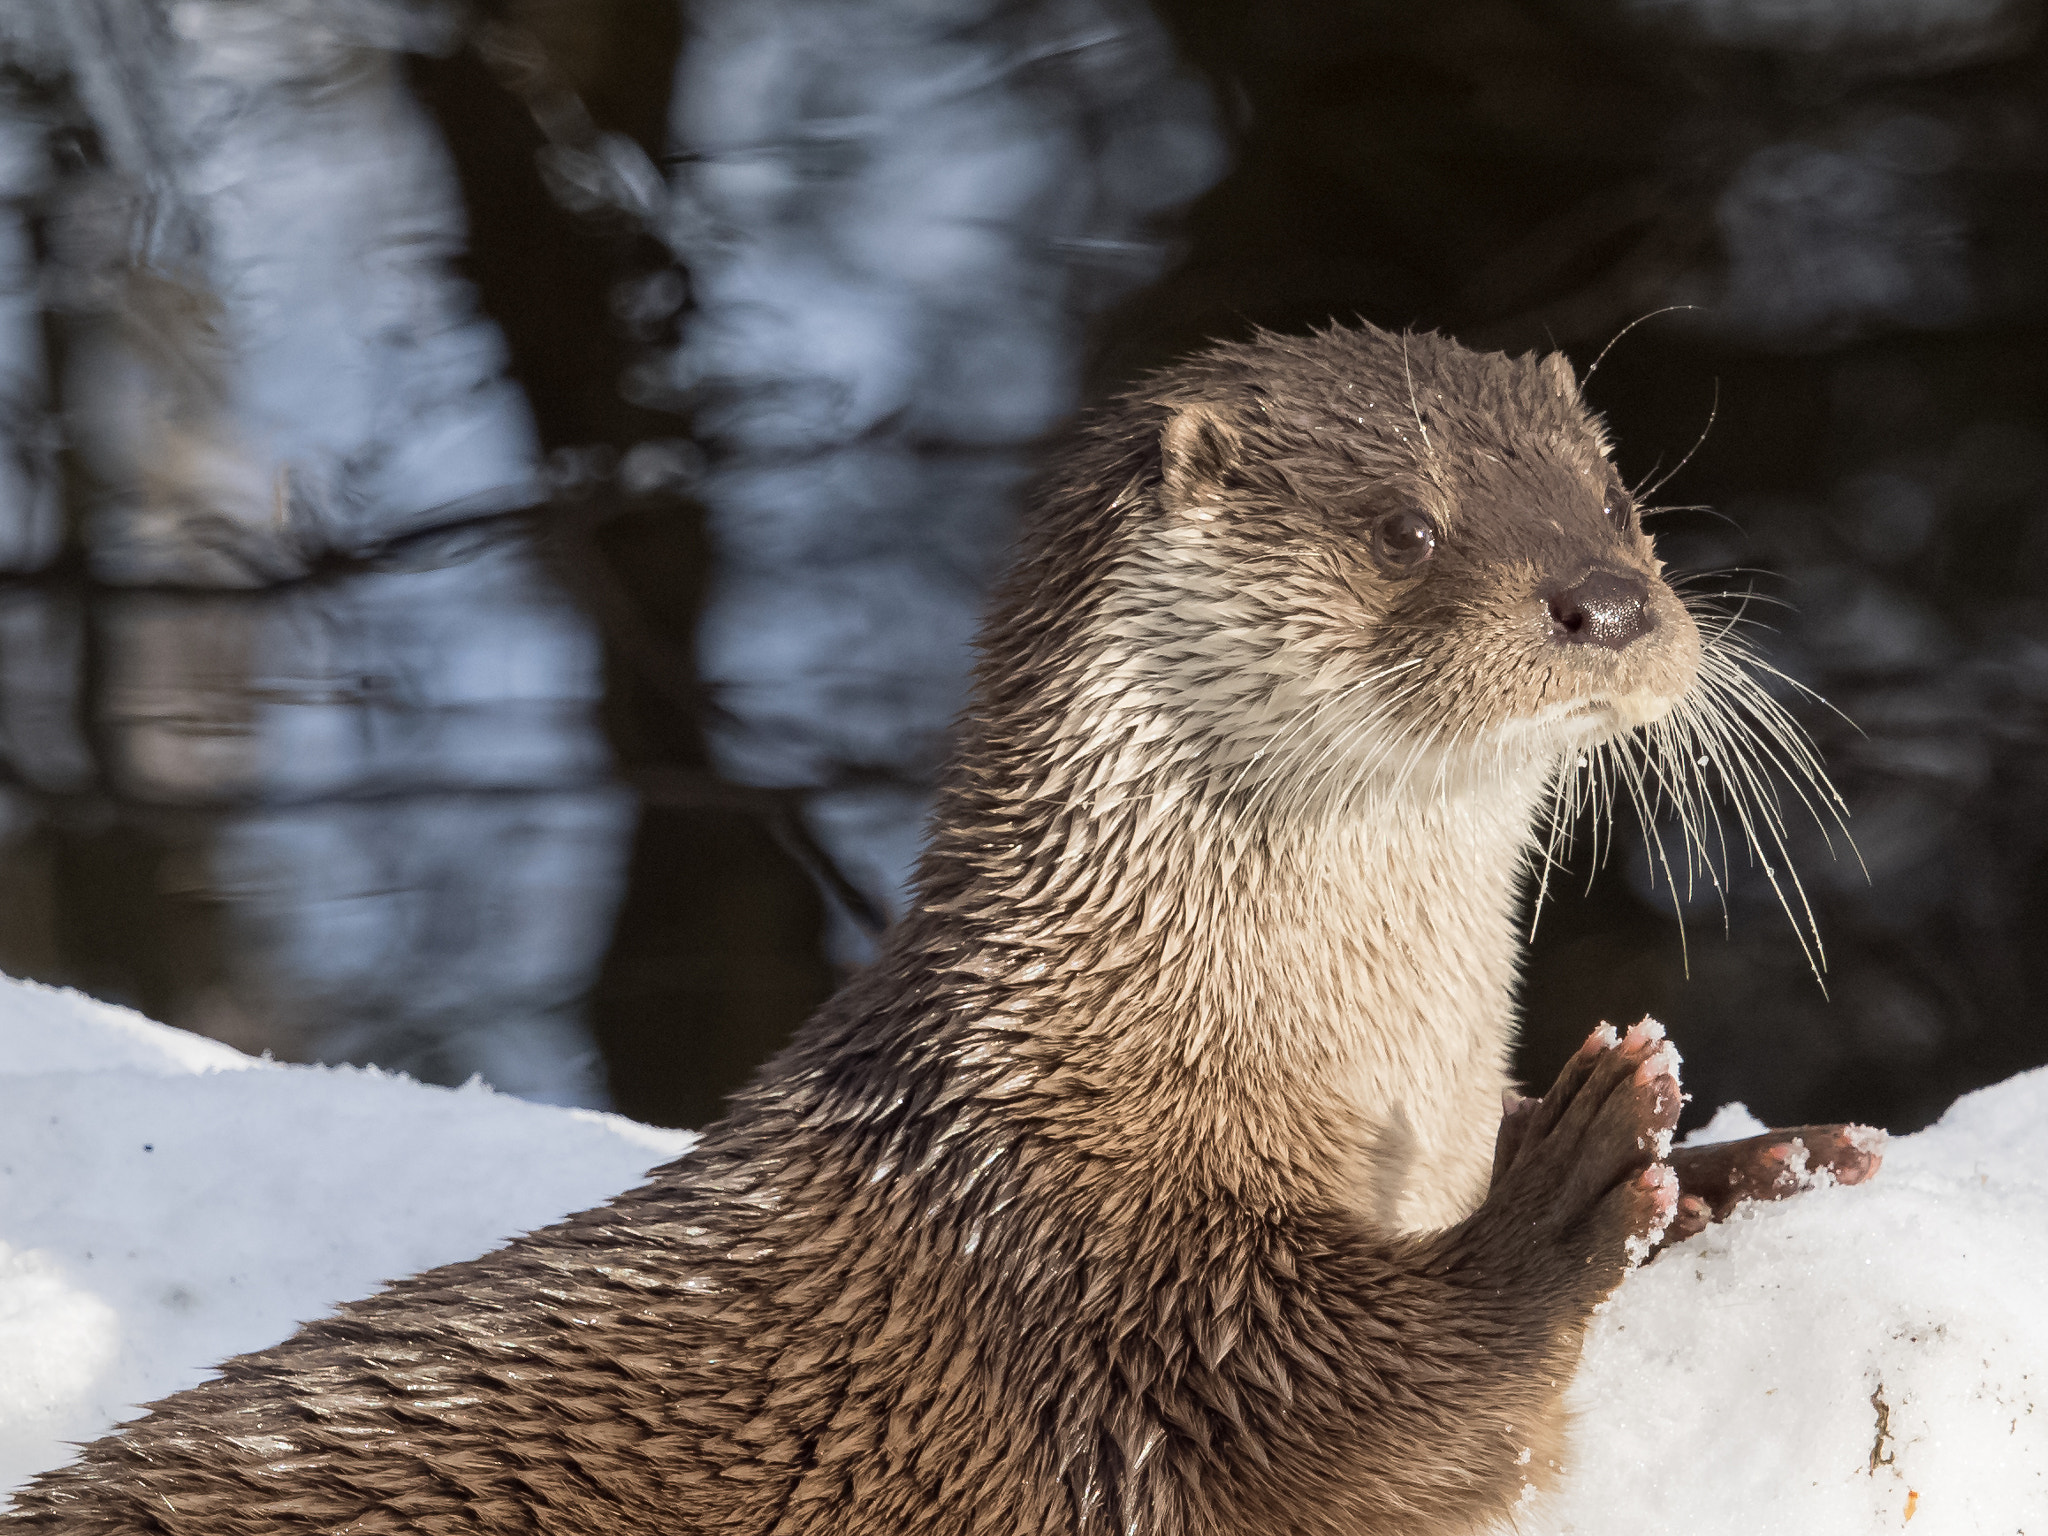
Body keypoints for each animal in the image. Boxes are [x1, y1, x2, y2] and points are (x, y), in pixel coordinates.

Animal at [8, 327, 1875, 1536]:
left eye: (1615, 495)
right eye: (1405, 525)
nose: (1608, 601)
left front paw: (1741, 1161)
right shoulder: (1090, 1264)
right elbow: (1347, 1413)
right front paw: (1574, 1173)